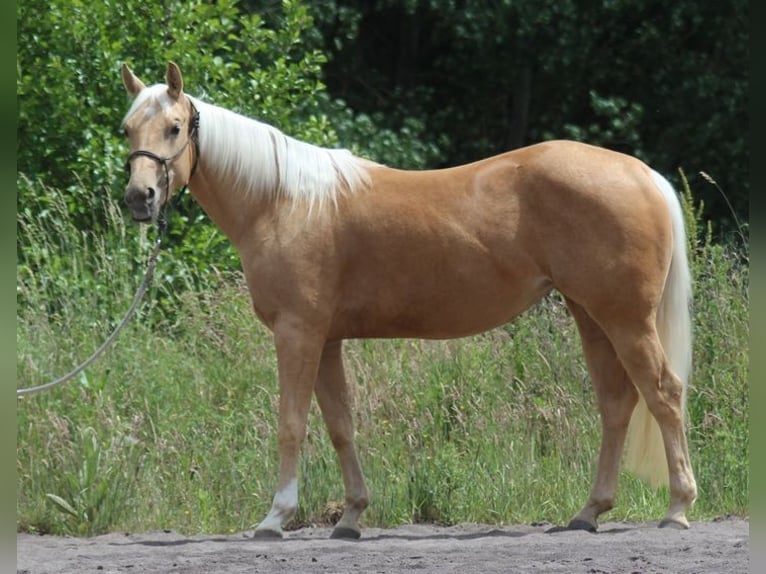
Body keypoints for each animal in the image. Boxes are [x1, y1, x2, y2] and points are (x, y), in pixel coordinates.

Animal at [120, 61, 696, 539]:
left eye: (174, 127)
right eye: (127, 128)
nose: (139, 199)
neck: (284, 203)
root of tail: (644, 174)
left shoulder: (297, 333)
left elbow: (292, 424)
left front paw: (276, 518)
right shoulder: (326, 340)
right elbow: (340, 427)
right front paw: (351, 517)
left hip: (626, 319)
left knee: (664, 393)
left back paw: (676, 508)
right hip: (592, 316)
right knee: (616, 404)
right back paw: (588, 512)